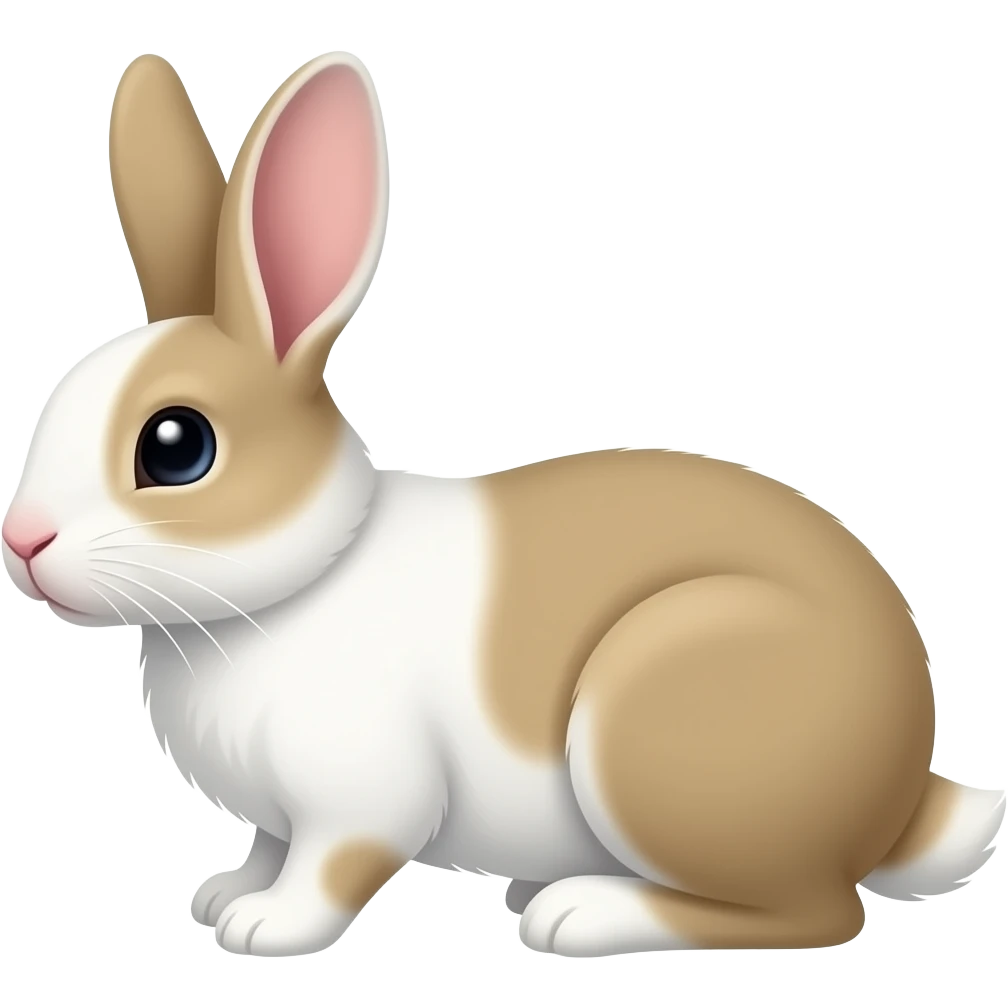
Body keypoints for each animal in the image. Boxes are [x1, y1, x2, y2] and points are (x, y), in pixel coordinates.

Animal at [2, 50, 1002, 959]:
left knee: (814, 914)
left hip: (656, 723)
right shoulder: (281, 816)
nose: (23, 541)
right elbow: (266, 848)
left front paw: (263, 927)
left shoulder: (360, 798)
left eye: (177, 447)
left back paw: (580, 913)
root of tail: (901, 791)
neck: (303, 580)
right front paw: (222, 895)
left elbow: (330, 868)